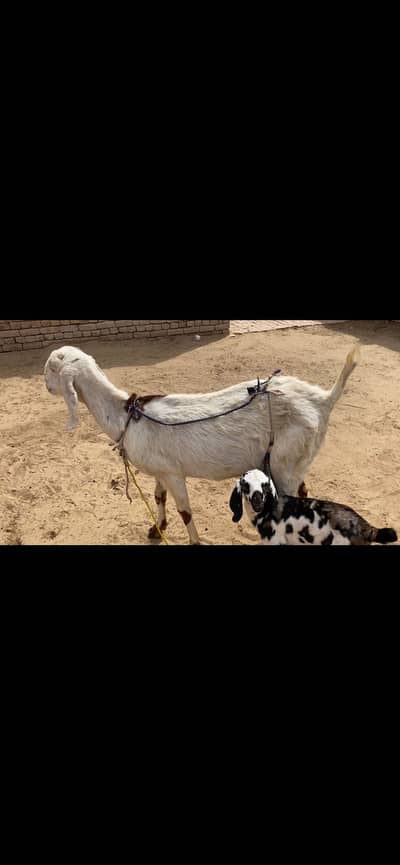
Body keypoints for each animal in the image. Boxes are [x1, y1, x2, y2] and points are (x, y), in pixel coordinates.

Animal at [44, 344, 360, 544]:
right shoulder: (161, 470)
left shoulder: (174, 474)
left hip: (286, 460)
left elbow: (185, 511)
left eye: (50, 369)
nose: (45, 386)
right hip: (297, 460)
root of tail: (322, 400)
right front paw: (157, 528)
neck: (127, 416)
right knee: (305, 492)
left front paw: (193, 541)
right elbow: (158, 497)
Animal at [230, 469, 398, 545]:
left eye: (265, 485)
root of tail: (366, 528)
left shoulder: (275, 541)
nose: (258, 502)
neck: (268, 512)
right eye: (245, 485)